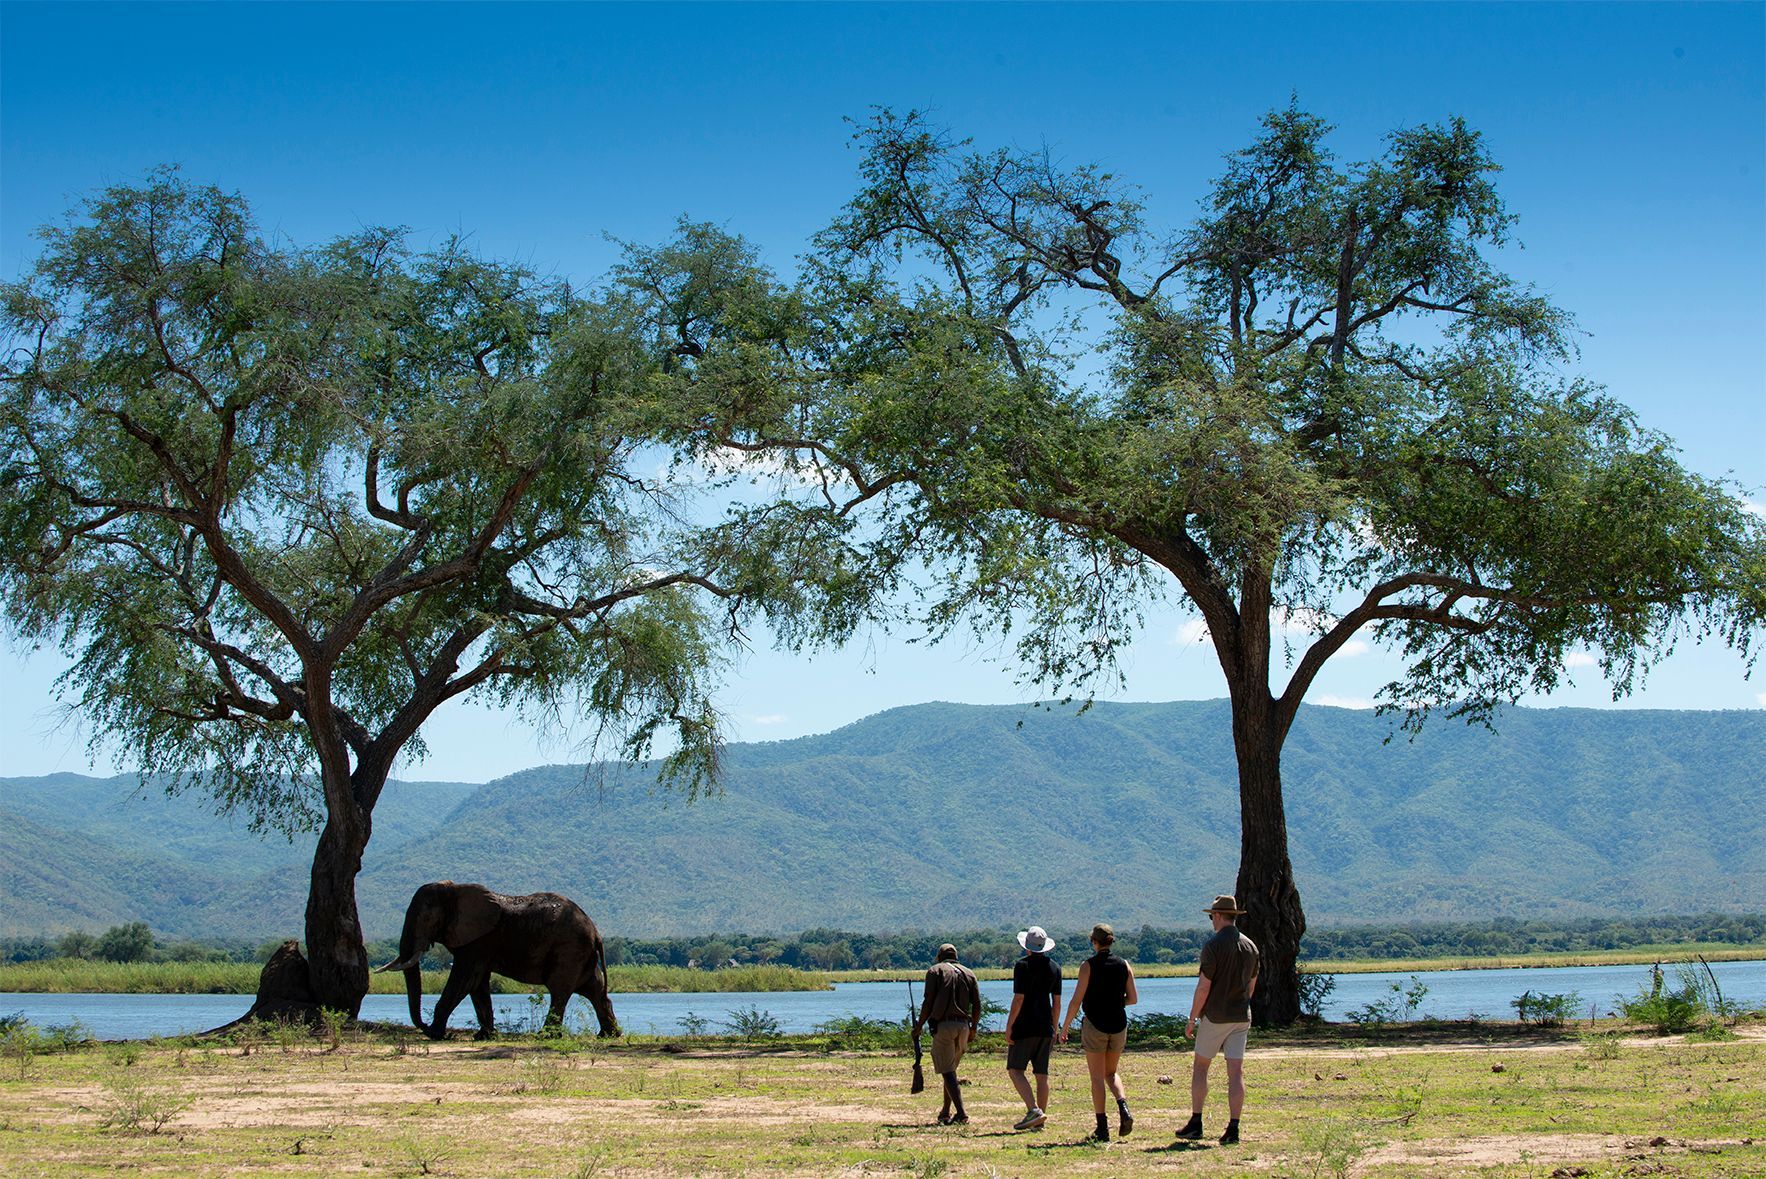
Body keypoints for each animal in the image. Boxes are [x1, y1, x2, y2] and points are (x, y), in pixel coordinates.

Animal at [377, 881, 620, 1039]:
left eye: (426, 918)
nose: (425, 1026)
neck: (455, 889)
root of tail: (596, 932)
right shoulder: (478, 944)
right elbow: (478, 984)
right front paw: (483, 1036)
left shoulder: (479, 940)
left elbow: (464, 980)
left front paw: (435, 1034)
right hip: (581, 953)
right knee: (594, 989)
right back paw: (608, 1035)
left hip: (569, 948)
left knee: (559, 990)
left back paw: (546, 1036)